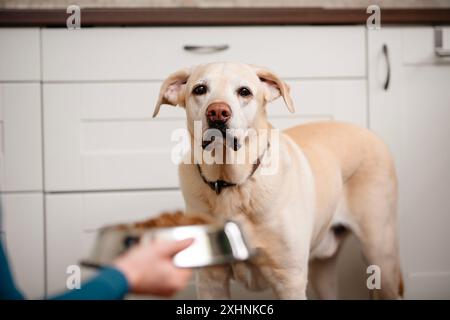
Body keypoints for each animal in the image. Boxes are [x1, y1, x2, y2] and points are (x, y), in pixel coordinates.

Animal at [153, 62, 402, 300]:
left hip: (380, 253)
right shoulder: (210, 281)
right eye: (200, 89)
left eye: (244, 92)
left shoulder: (289, 281)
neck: (232, 184)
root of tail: (369, 132)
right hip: (323, 270)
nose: (217, 112)